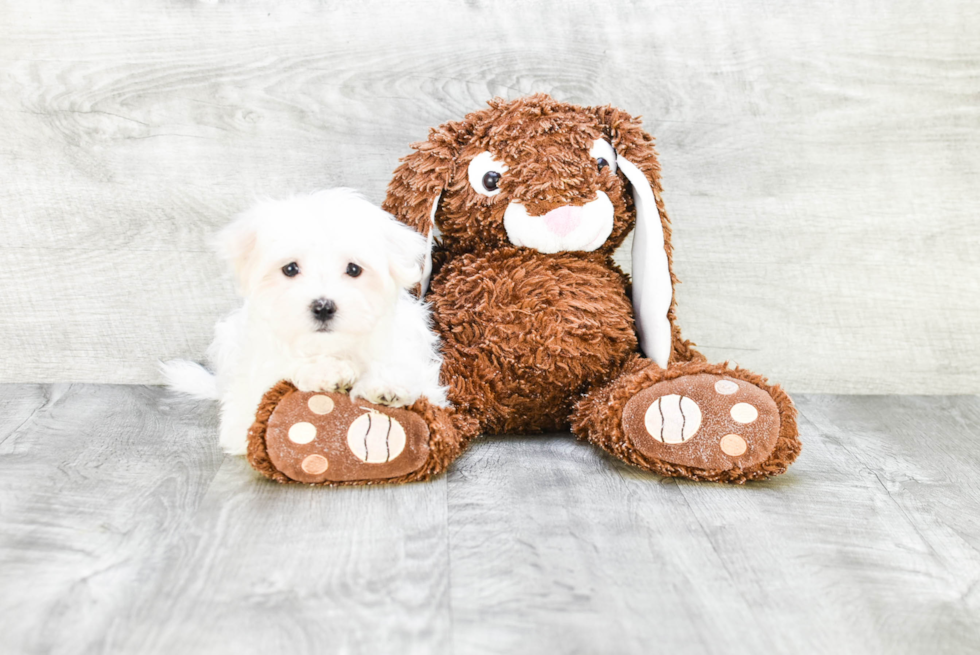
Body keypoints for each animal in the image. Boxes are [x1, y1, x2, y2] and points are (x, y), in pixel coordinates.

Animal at [165, 188, 448, 456]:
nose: (323, 307)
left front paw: (386, 384)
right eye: (290, 269)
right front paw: (328, 372)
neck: (332, 346)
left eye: (354, 269)